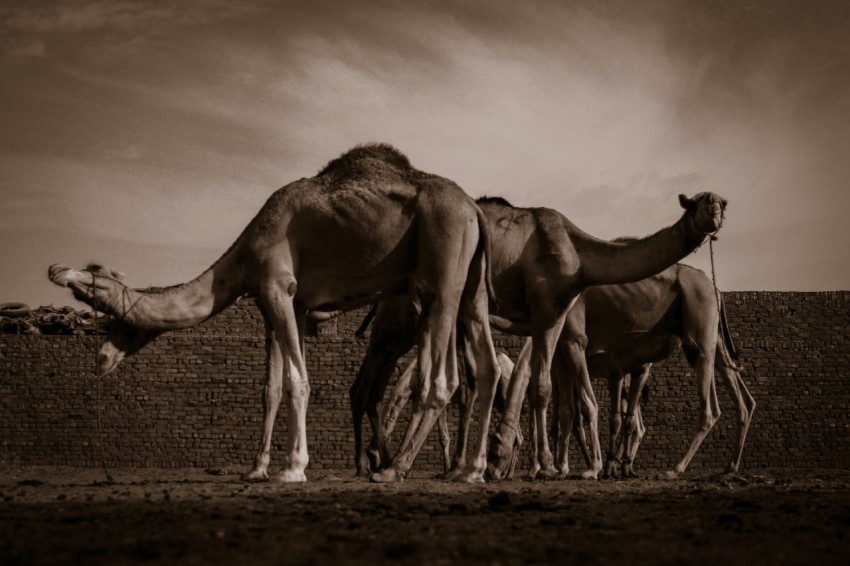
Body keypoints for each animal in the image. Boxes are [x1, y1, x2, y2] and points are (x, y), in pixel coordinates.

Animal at [48, 143, 500, 483]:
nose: (101, 358)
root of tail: (473, 210)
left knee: (443, 377)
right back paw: (471, 471)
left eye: (122, 322)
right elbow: (271, 387)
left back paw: (394, 469)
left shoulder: (276, 285)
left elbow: (298, 380)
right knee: (488, 366)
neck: (243, 254)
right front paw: (257, 469)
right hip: (472, 286)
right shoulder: (286, 304)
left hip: (441, 270)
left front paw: (293, 469)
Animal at [350, 191, 728, 481]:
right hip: (401, 319)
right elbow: (559, 395)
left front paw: (547, 466)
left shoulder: (554, 314)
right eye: (696, 203)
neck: (579, 253)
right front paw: (569, 467)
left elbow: (542, 390)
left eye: (721, 201)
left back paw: (384, 460)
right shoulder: (551, 312)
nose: (715, 211)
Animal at [538, 263, 756, 479]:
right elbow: (568, 412)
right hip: (713, 339)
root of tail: (715, 289)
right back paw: (730, 467)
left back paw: (675, 468)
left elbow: (594, 412)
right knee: (740, 394)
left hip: (698, 330)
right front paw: (562, 467)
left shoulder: (582, 347)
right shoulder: (572, 357)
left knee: (709, 409)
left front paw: (592, 467)